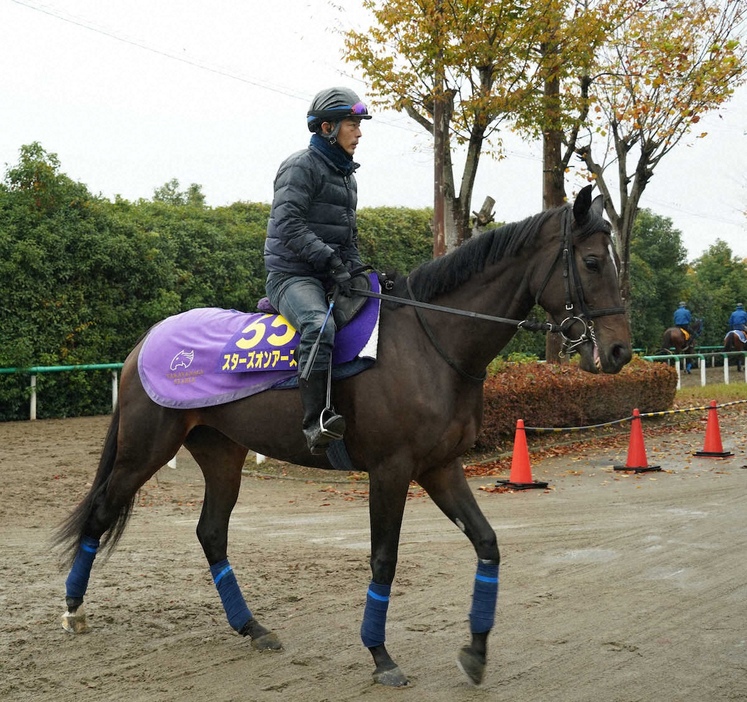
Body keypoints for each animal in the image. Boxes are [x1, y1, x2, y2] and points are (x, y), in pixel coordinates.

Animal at [54, 184, 632, 692]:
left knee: (211, 532)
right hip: (144, 450)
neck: (431, 342)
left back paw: (252, 627)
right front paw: (381, 656)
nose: (621, 351)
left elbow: (487, 543)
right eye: (592, 262)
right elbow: (384, 559)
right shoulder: (391, 471)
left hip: (222, 453)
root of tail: (146, 340)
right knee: (101, 512)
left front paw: (475, 651)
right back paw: (73, 609)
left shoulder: (441, 467)